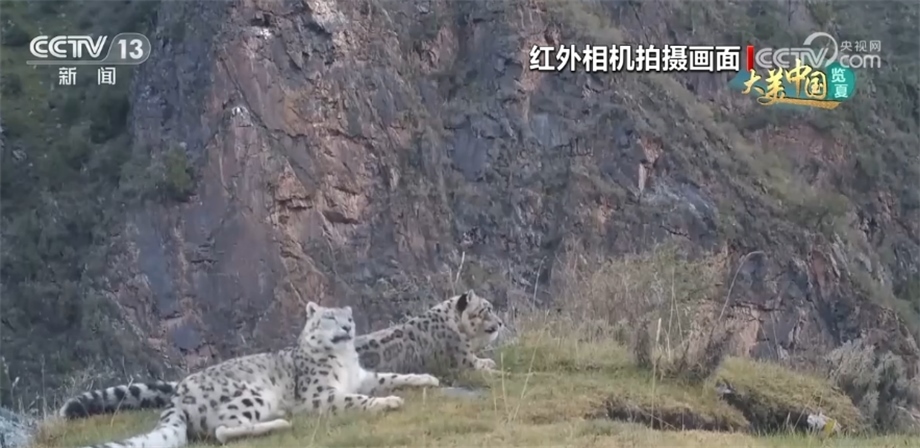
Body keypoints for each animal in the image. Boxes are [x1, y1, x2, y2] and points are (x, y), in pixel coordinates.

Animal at [77, 302, 439, 448]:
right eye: (328, 318)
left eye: (347, 317)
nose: (348, 327)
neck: (344, 359)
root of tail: (178, 396)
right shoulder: (320, 394)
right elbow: (356, 399)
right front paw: (388, 402)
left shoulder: (362, 376)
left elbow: (391, 376)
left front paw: (426, 379)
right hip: (251, 394)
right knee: (223, 430)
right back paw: (279, 422)